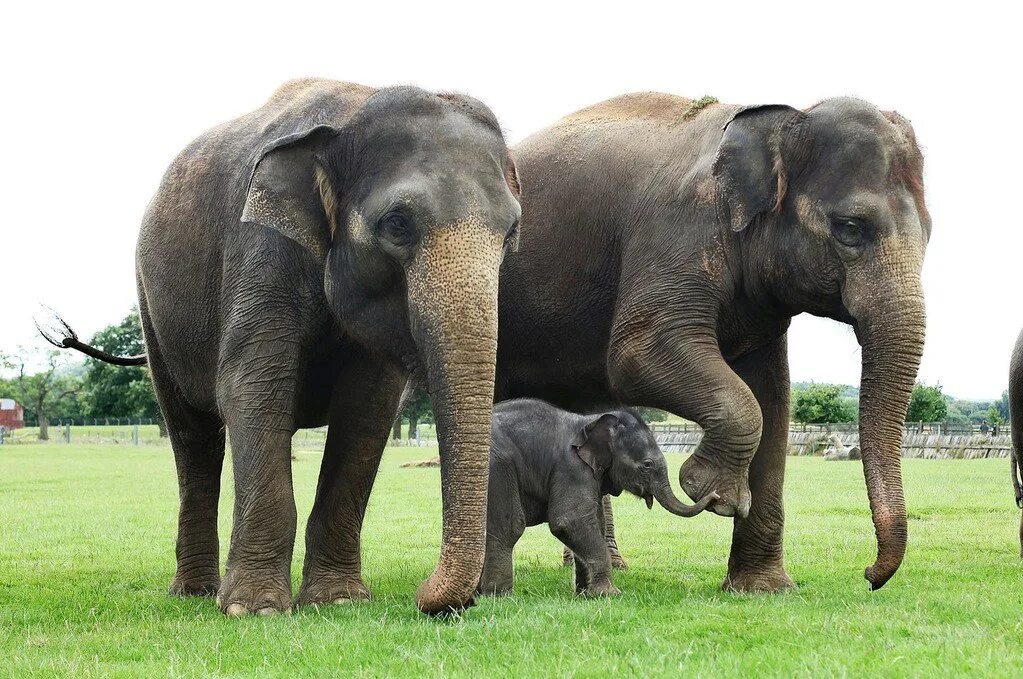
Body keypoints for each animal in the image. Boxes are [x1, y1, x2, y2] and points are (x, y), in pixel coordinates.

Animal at [47, 79, 519, 613]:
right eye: (397, 224)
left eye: (511, 233)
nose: (427, 597)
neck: (353, 109)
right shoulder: (259, 246)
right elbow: (255, 385)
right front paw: (252, 609)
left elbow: (369, 407)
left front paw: (338, 602)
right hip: (153, 307)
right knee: (192, 436)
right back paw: (195, 592)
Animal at [480, 400, 716, 597]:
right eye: (647, 465)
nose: (715, 495)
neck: (590, 420)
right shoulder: (571, 468)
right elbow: (569, 521)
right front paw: (608, 594)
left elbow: (594, 523)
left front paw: (585, 595)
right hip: (497, 469)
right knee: (509, 528)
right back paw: (498, 596)